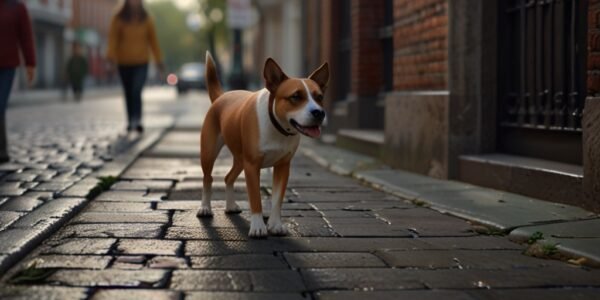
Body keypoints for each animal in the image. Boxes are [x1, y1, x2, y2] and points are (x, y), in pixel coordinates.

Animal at [197, 52, 328, 238]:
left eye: (319, 97)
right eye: (295, 97)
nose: (319, 113)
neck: (277, 126)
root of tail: (221, 96)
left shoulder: (283, 166)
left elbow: (277, 199)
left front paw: (275, 224)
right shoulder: (252, 166)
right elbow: (255, 199)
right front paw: (258, 226)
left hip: (240, 159)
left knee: (228, 177)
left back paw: (230, 206)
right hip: (209, 153)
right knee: (208, 178)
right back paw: (205, 208)